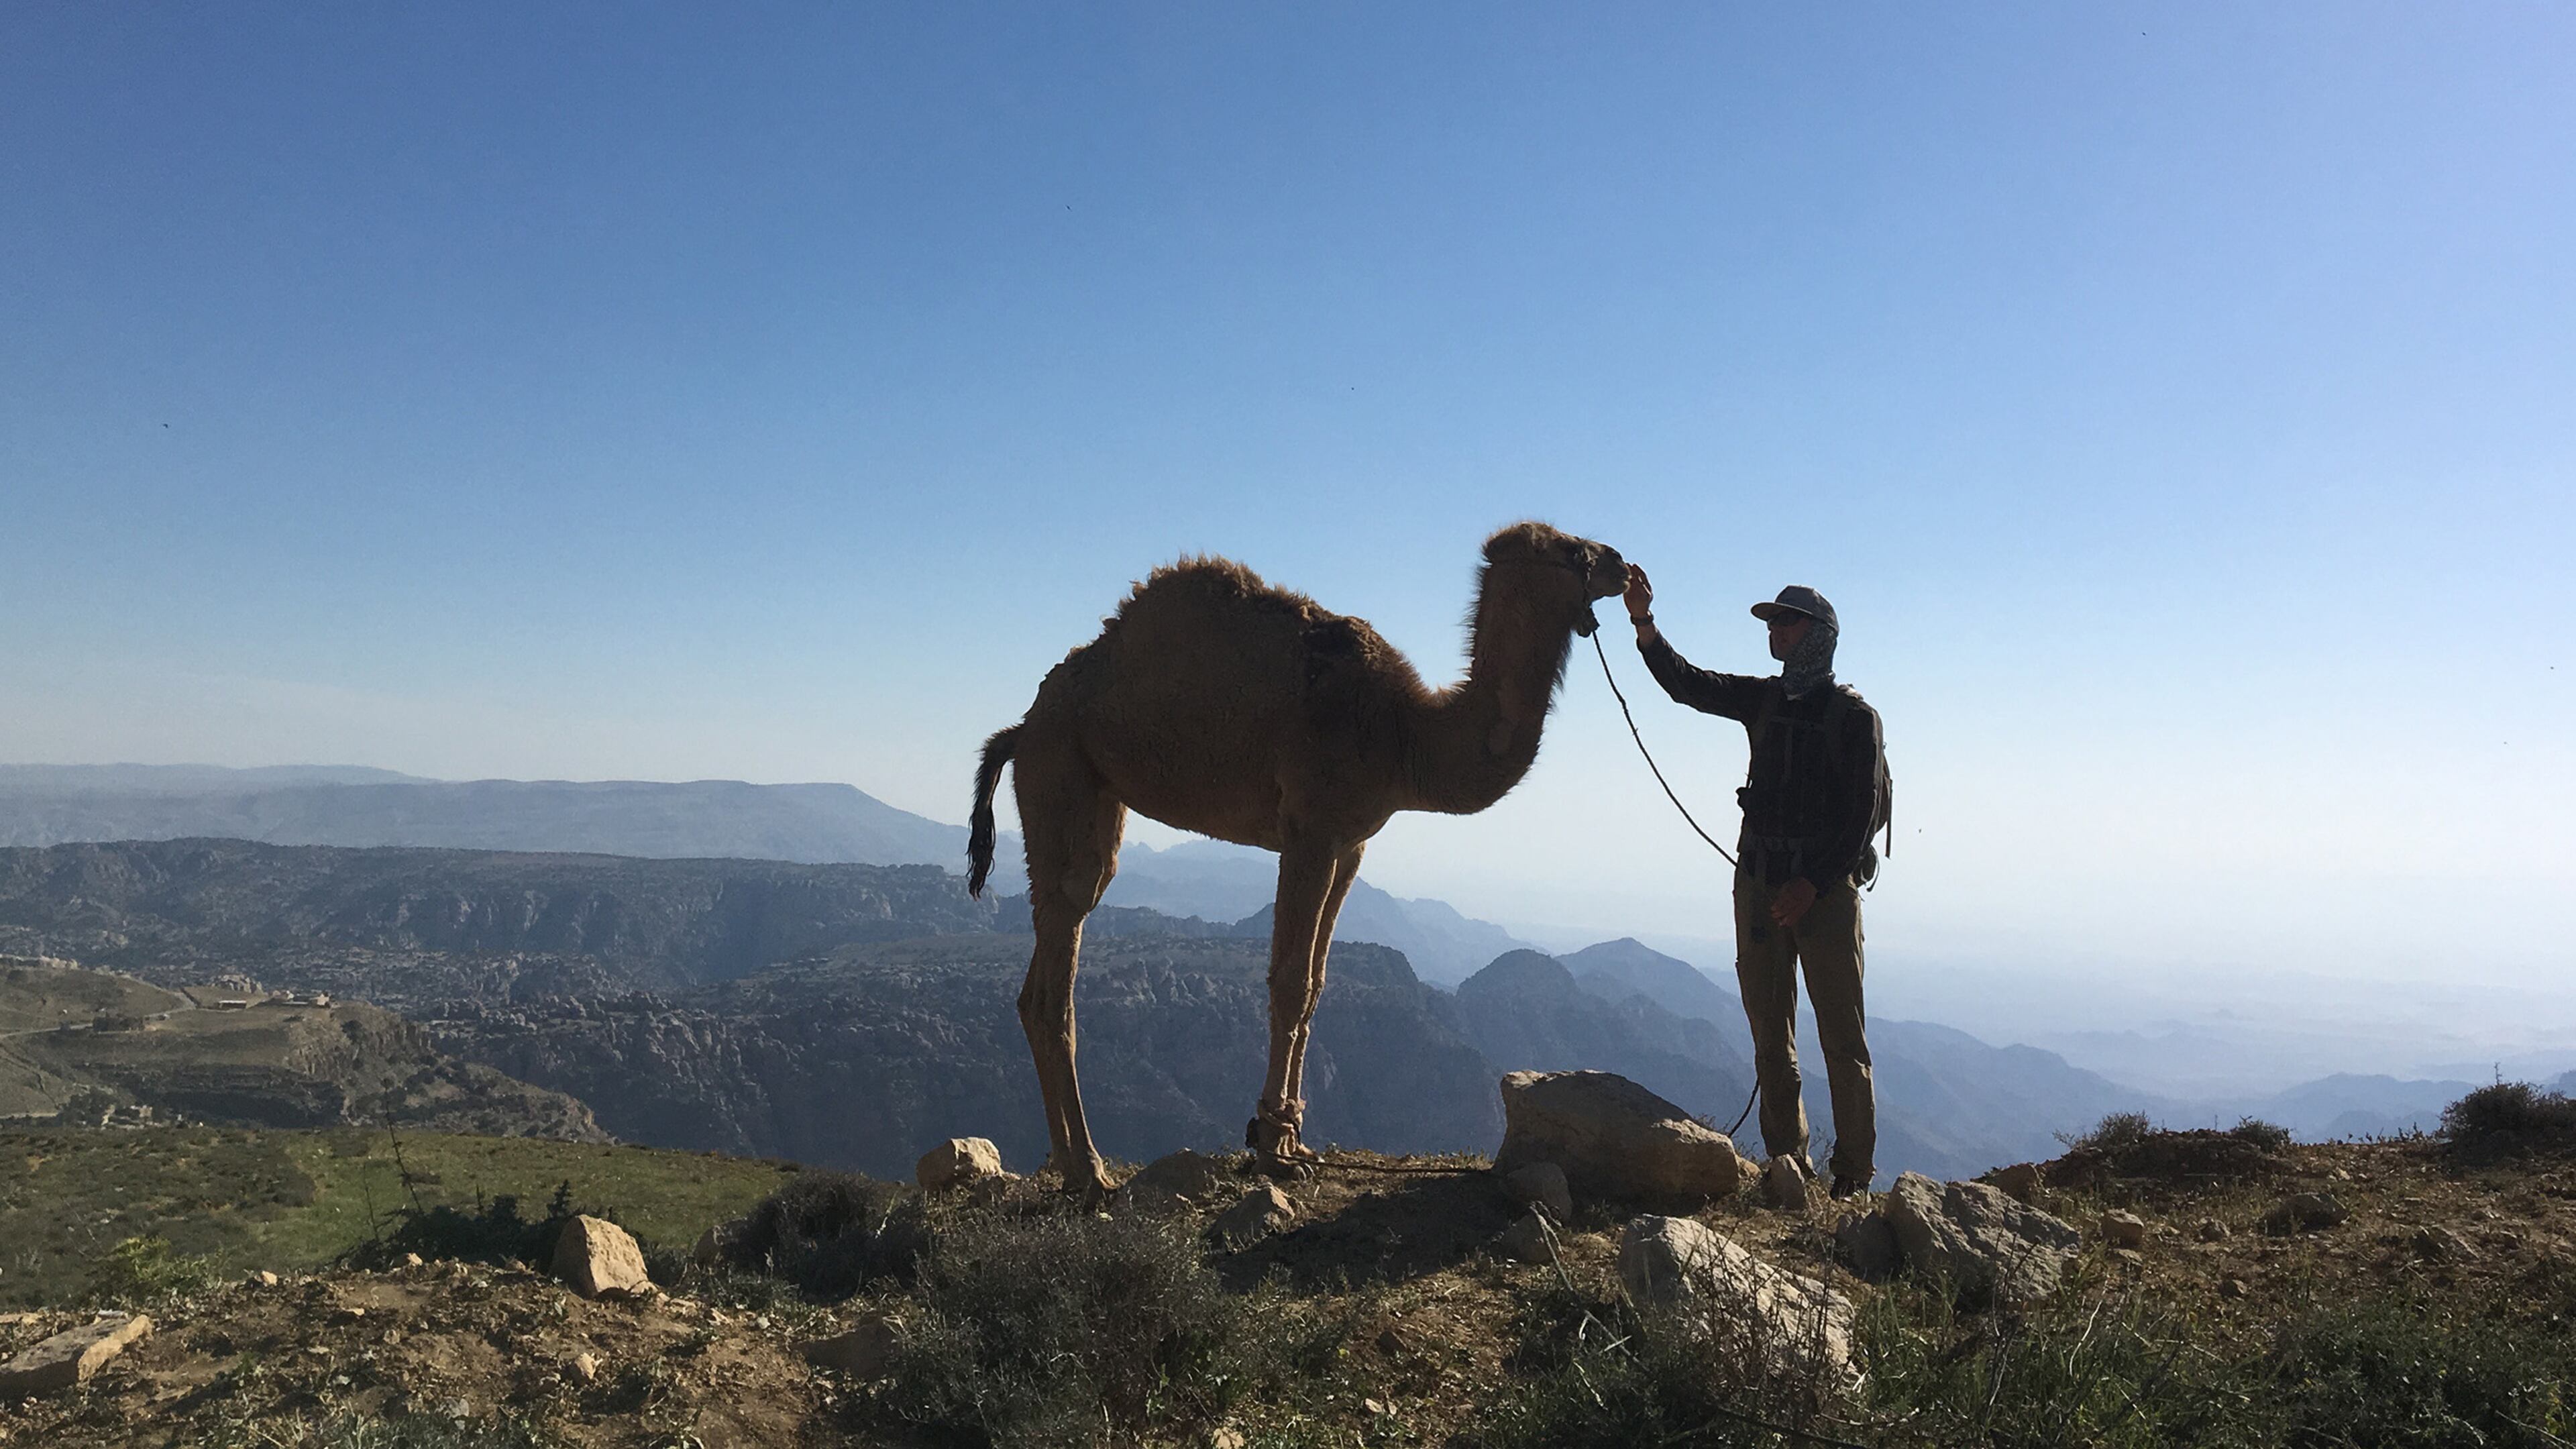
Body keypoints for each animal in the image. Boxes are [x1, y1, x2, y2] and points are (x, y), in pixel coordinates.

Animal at [967, 522, 1629, 1196]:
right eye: (1571, 549)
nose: (1624, 565)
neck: (1403, 734)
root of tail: (1022, 728)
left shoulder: (1351, 844)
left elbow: (1315, 986)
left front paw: (1291, 1138)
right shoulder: (1310, 828)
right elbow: (1288, 983)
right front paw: (1271, 1152)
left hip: (1092, 787)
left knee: (1051, 958)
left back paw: (1073, 1163)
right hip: (1060, 766)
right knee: (1062, 952)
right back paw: (1088, 1167)